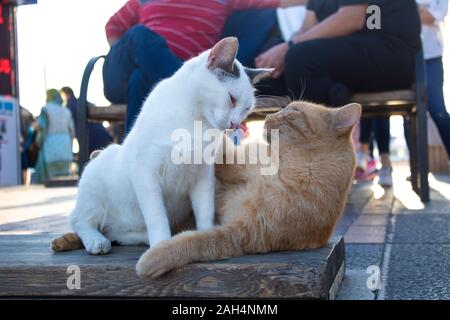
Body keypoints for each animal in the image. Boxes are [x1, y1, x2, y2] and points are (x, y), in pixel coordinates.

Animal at [65, 37, 272, 256]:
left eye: (246, 109)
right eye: (231, 98)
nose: (234, 124)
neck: (196, 123)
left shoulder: (203, 175)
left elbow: (205, 209)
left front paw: (204, 235)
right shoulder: (146, 174)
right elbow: (157, 217)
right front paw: (161, 245)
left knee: (114, 232)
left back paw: (140, 237)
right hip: (93, 191)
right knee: (80, 220)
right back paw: (97, 241)